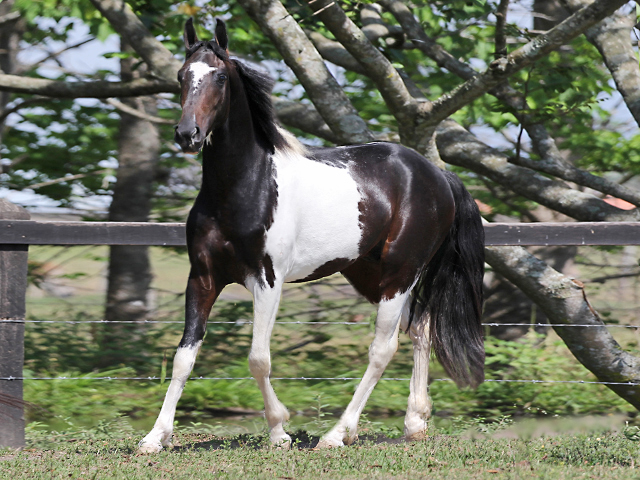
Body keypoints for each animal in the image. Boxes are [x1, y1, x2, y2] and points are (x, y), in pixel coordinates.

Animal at [136, 18, 484, 454]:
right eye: (182, 76)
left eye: (219, 76)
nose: (188, 134)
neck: (243, 189)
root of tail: (437, 175)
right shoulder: (202, 277)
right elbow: (184, 356)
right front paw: (154, 437)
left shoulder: (267, 281)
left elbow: (258, 358)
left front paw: (279, 431)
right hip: (371, 273)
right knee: (420, 328)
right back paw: (413, 423)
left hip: (402, 272)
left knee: (383, 348)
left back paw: (337, 434)